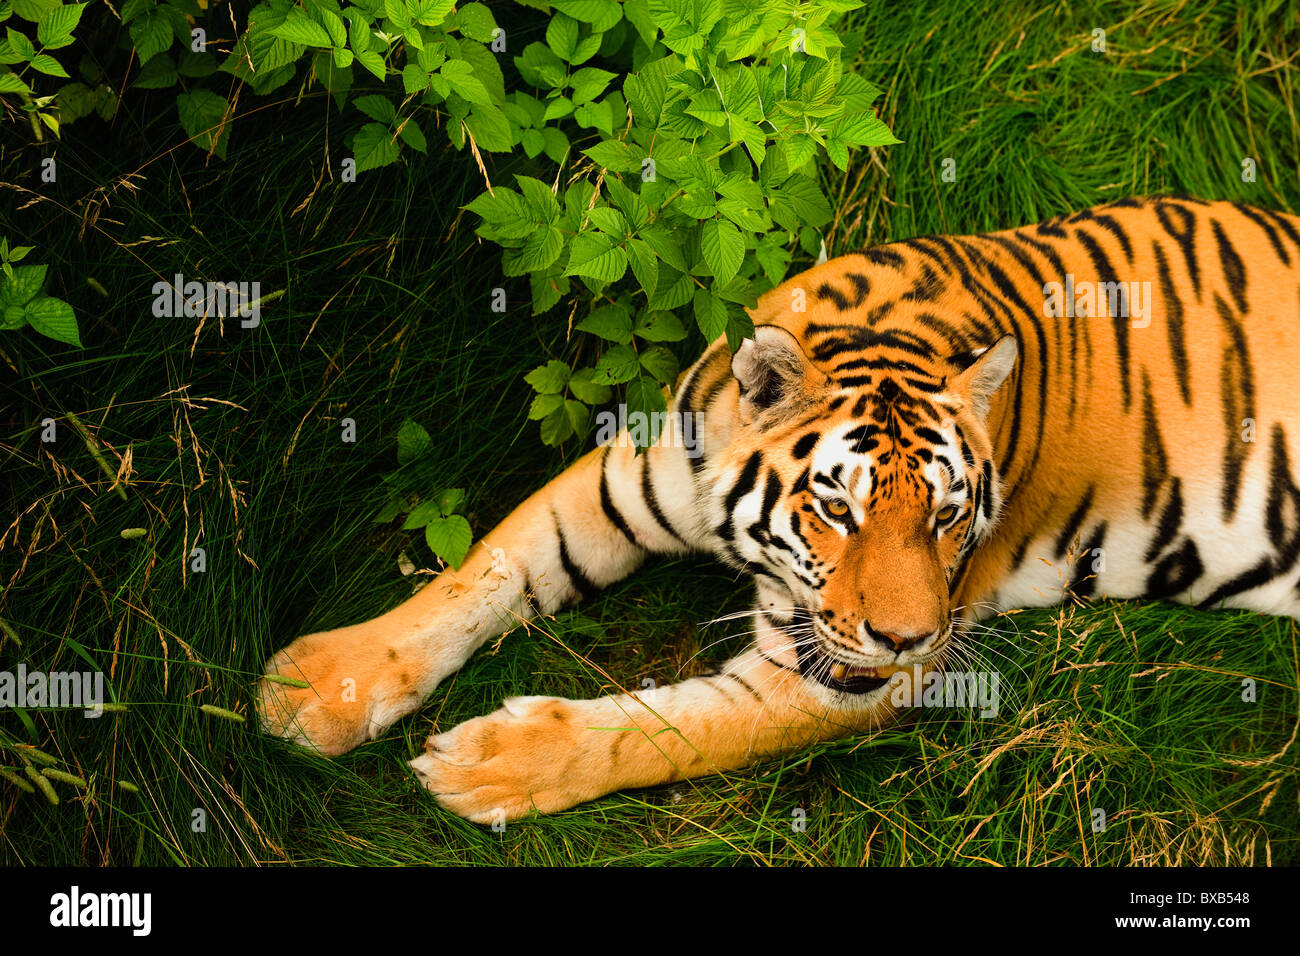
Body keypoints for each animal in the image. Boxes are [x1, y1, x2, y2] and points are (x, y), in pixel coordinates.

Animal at [257, 195, 1300, 823]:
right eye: (836, 509)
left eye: (949, 516)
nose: (909, 639)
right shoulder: (626, 479)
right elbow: (484, 573)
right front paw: (315, 690)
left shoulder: (849, 672)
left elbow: (678, 730)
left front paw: (493, 766)